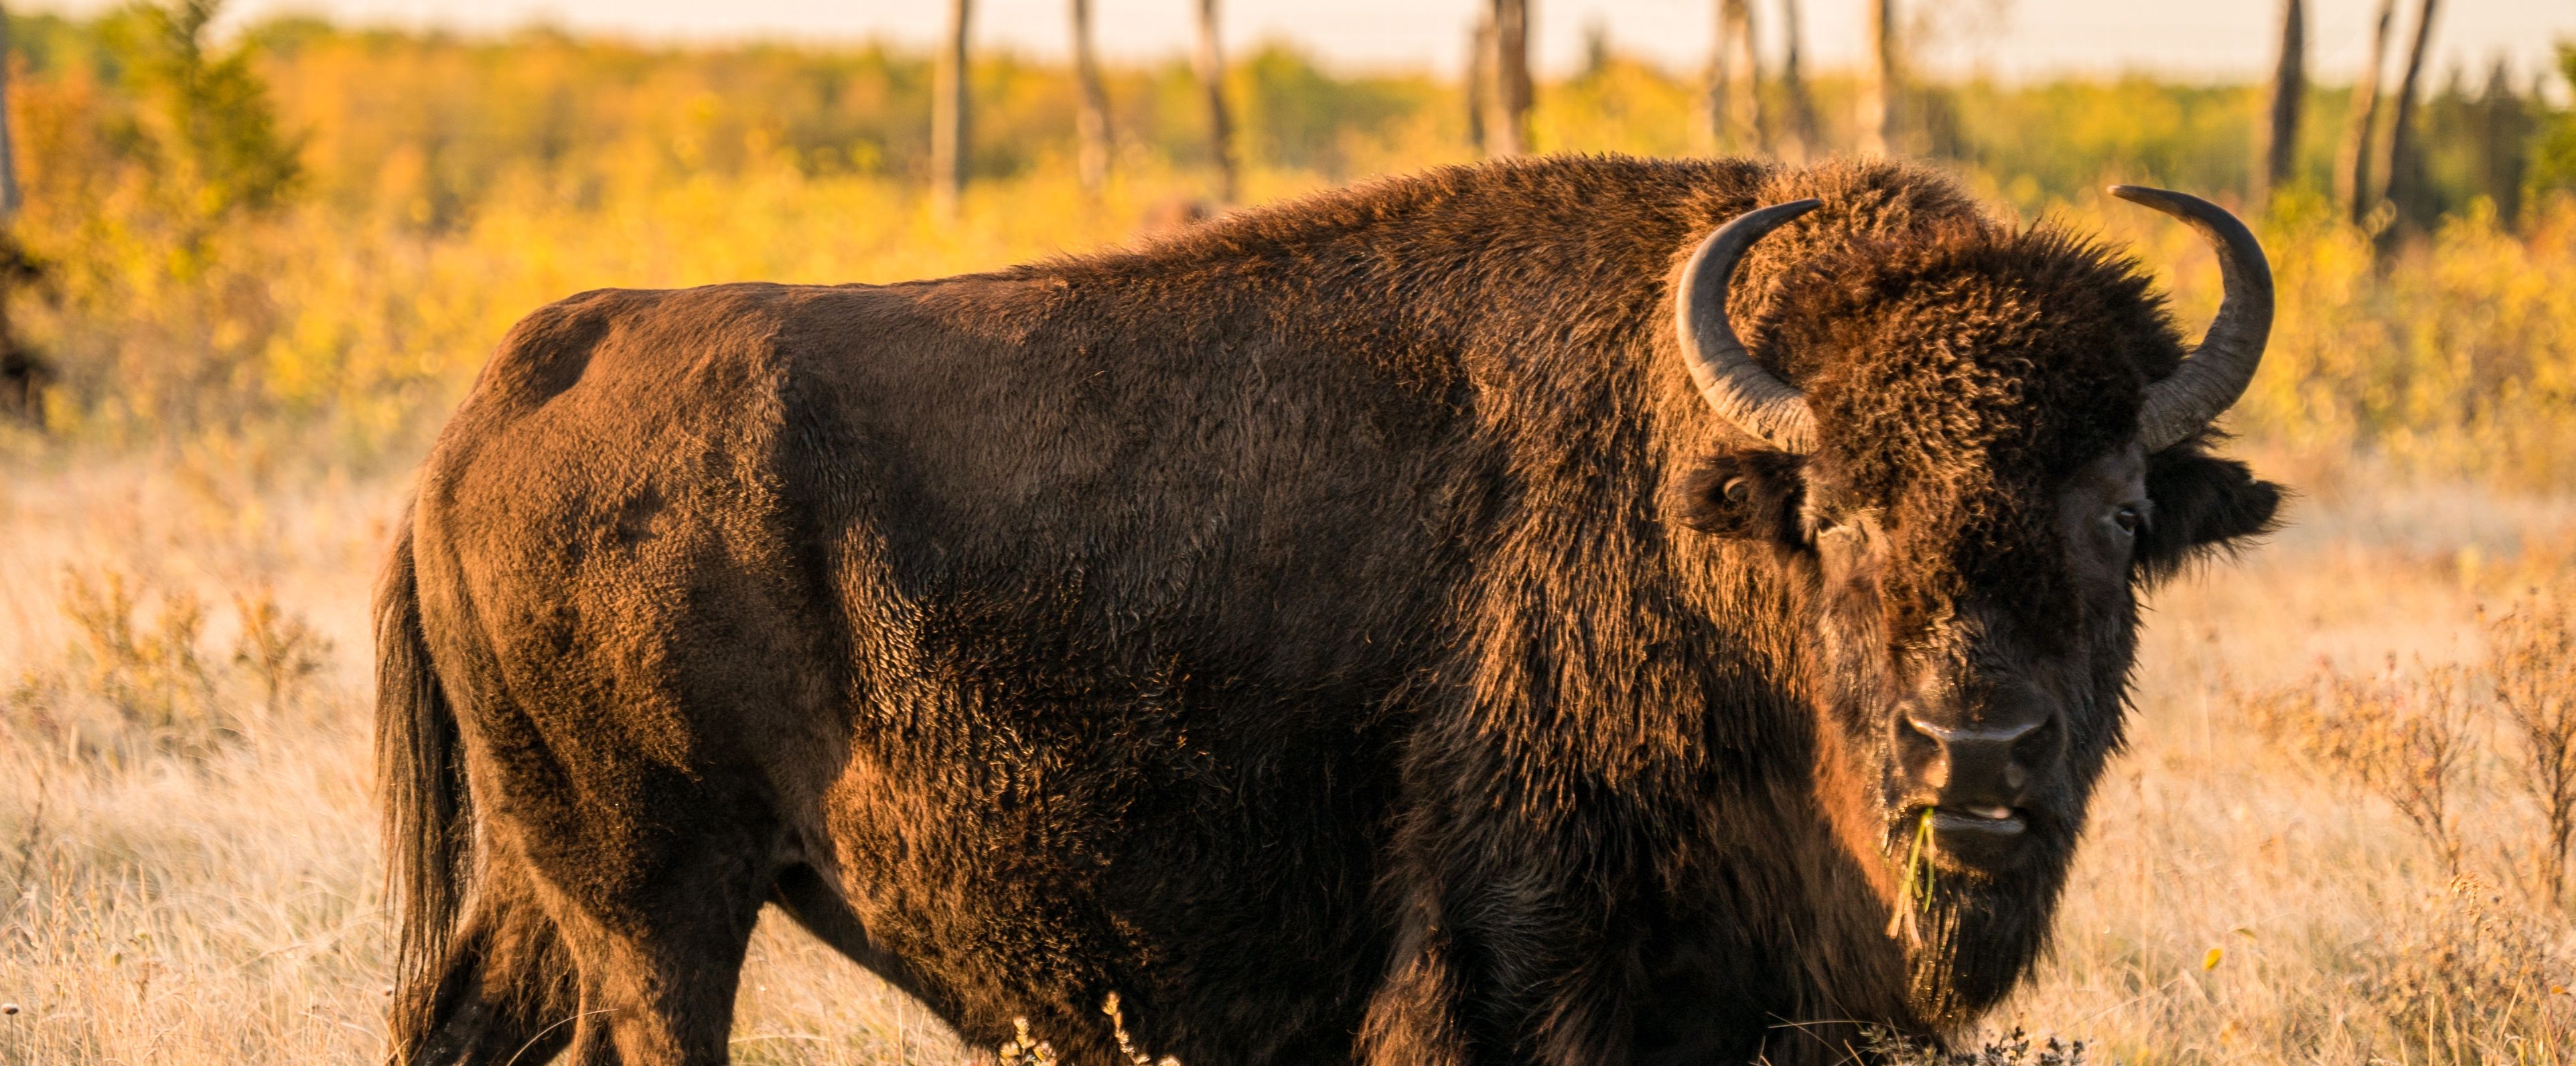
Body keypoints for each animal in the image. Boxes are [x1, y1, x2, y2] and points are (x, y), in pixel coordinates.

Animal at [376, 153, 2277, 1061]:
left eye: (2120, 516)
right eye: (1832, 514)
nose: (1979, 754)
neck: (1699, 511)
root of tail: (524, 375)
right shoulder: (1519, 972)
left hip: (561, 890)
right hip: (657, 907)